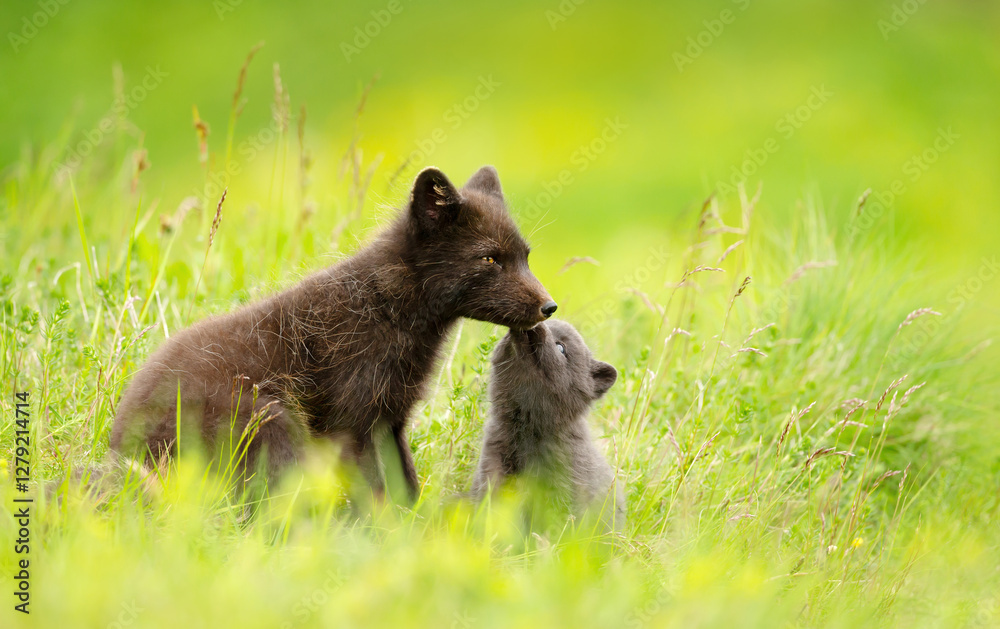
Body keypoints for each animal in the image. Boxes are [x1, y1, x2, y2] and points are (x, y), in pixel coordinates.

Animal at [110, 165, 557, 500]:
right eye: (490, 259)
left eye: (526, 257)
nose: (549, 307)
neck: (387, 309)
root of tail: (118, 448)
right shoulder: (351, 420)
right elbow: (374, 491)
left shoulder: (390, 418)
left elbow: (406, 487)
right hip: (268, 415)